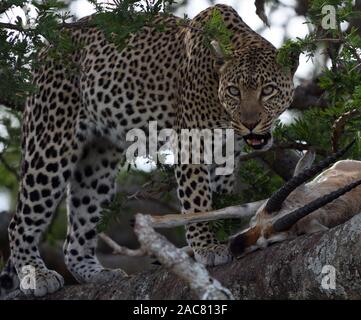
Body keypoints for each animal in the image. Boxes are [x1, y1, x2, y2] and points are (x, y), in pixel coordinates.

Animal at [0, 3, 296, 296]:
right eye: (234, 91)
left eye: (268, 90)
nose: (250, 124)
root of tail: (48, 45)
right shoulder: (192, 143)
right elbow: (198, 201)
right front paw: (207, 247)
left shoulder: (226, 155)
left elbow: (221, 202)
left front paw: (226, 237)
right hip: (51, 141)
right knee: (21, 221)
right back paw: (37, 275)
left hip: (97, 160)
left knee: (77, 231)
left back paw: (97, 274)